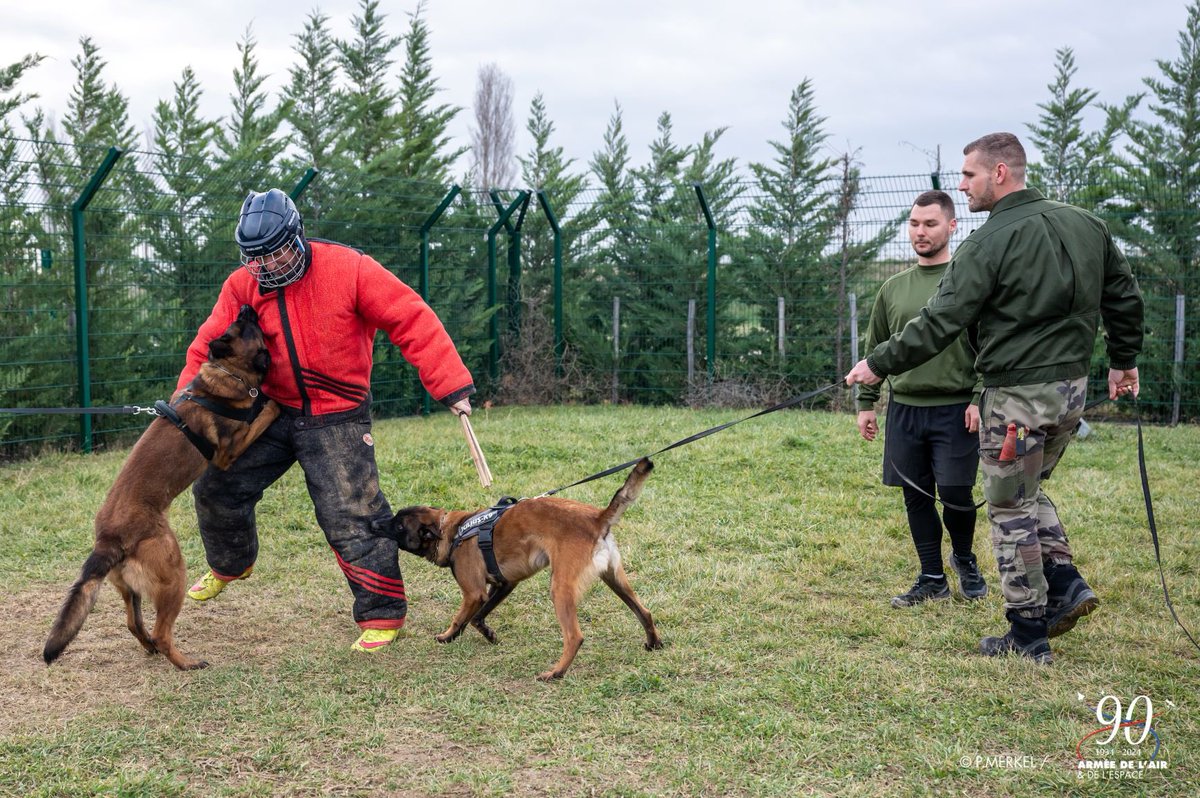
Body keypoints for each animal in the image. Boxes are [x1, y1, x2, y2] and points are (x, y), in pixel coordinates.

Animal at [42, 304, 280, 667]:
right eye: (242, 326)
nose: (246, 307)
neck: (226, 374)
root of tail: (108, 539)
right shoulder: (229, 452)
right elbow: (266, 411)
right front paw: (274, 402)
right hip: (173, 573)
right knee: (162, 633)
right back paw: (187, 663)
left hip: (130, 589)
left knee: (134, 624)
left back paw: (151, 648)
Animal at [374, 453, 662, 676]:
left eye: (398, 526)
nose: (375, 522)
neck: (452, 532)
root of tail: (597, 518)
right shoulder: (504, 584)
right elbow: (477, 617)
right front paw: (487, 634)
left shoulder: (473, 593)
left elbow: (460, 617)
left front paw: (447, 636)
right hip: (615, 580)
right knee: (645, 612)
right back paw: (654, 643)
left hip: (560, 589)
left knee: (574, 637)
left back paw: (556, 672)